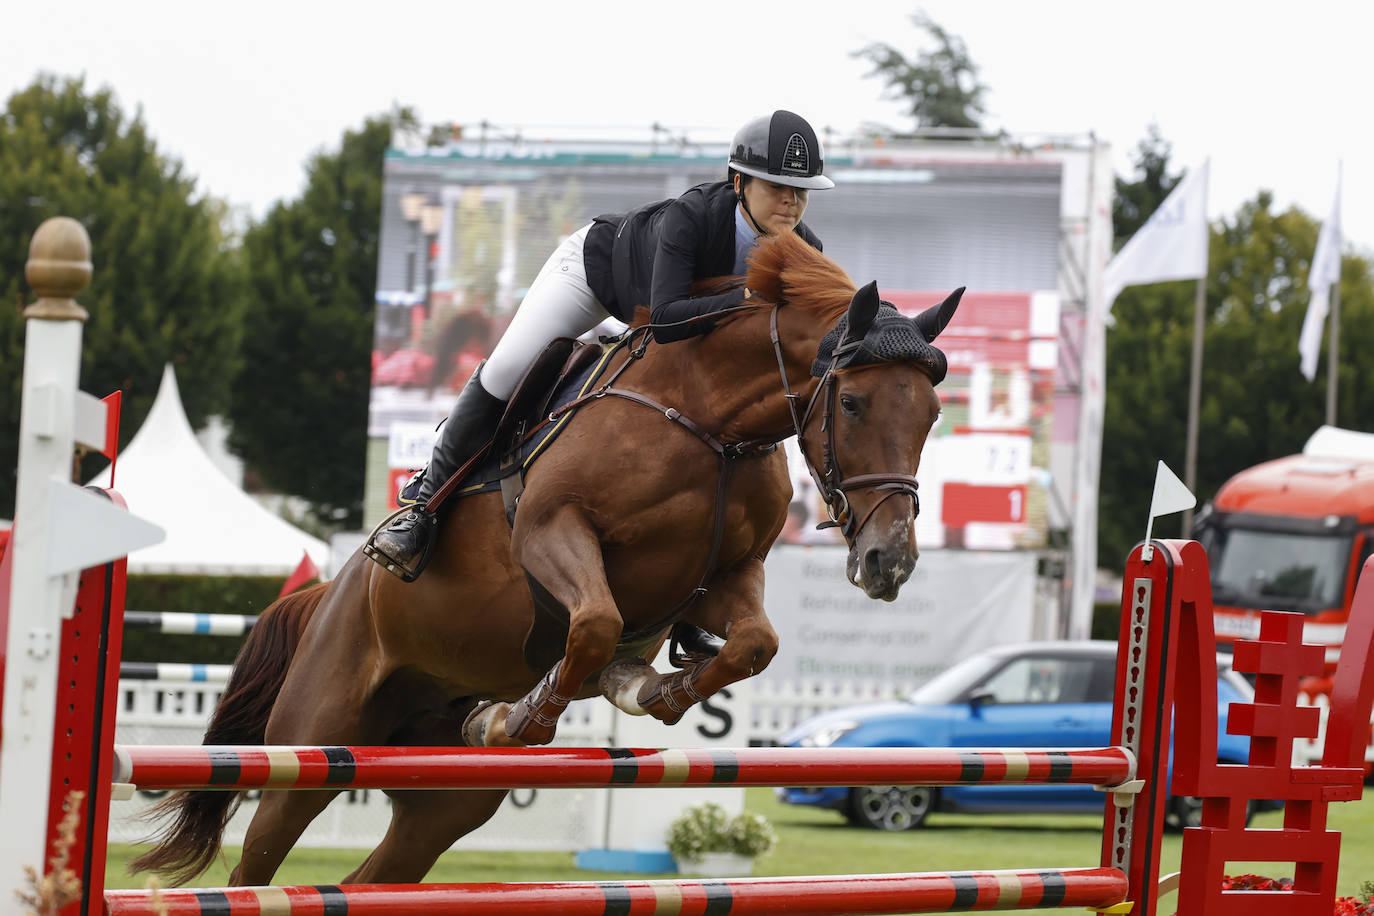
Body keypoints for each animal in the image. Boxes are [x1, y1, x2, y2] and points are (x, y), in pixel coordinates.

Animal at [133, 229, 961, 889]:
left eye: (931, 414)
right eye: (851, 403)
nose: (889, 561)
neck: (708, 421)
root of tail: (329, 595)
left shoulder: (724, 577)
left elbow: (753, 642)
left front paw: (654, 689)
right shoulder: (550, 531)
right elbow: (594, 624)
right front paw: (522, 714)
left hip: (443, 800)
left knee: (373, 875)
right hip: (310, 748)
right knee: (258, 861)